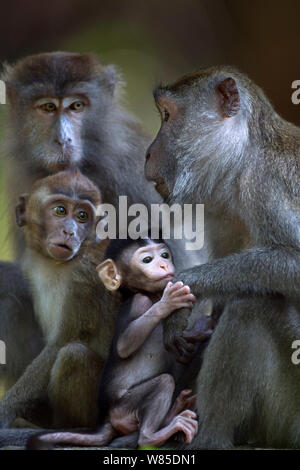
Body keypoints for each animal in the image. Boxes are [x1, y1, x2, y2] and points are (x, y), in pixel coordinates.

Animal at [28, 239, 197, 448]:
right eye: (147, 259)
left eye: (165, 255)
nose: (164, 265)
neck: (150, 295)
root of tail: (108, 419)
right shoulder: (139, 302)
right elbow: (124, 344)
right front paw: (168, 303)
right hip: (123, 407)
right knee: (164, 383)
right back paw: (153, 435)